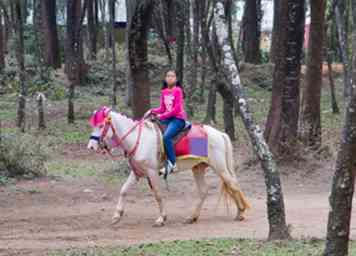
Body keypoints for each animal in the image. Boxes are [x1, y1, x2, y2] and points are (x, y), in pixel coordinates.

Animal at [87, 107, 250, 226]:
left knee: (233, 184)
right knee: (205, 190)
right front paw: (116, 216)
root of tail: (220, 134)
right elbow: (123, 190)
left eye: (101, 125)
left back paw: (241, 213)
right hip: (198, 167)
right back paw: (192, 217)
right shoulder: (137, 172)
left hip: (219, 166)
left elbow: (158, 194)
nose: (91, 147)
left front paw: (161, 219)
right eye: (93, 125)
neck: (139, 139)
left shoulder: (152, 172)